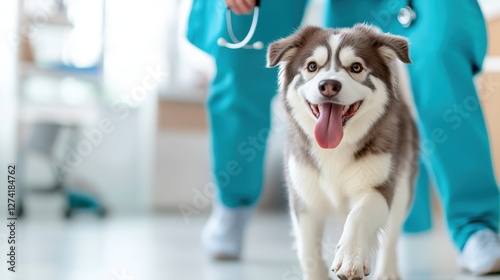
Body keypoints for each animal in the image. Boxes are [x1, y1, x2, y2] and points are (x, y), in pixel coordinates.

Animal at [268, 24, 420, 280]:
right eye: (312, 66)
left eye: (356, 67)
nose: (328, 85)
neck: (334, 148)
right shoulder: (304, 199)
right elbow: (307, 251)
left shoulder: (378, 187)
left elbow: (359, 215)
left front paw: (350, 257)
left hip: (403, 188)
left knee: (391, 237)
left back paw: (387, 272)